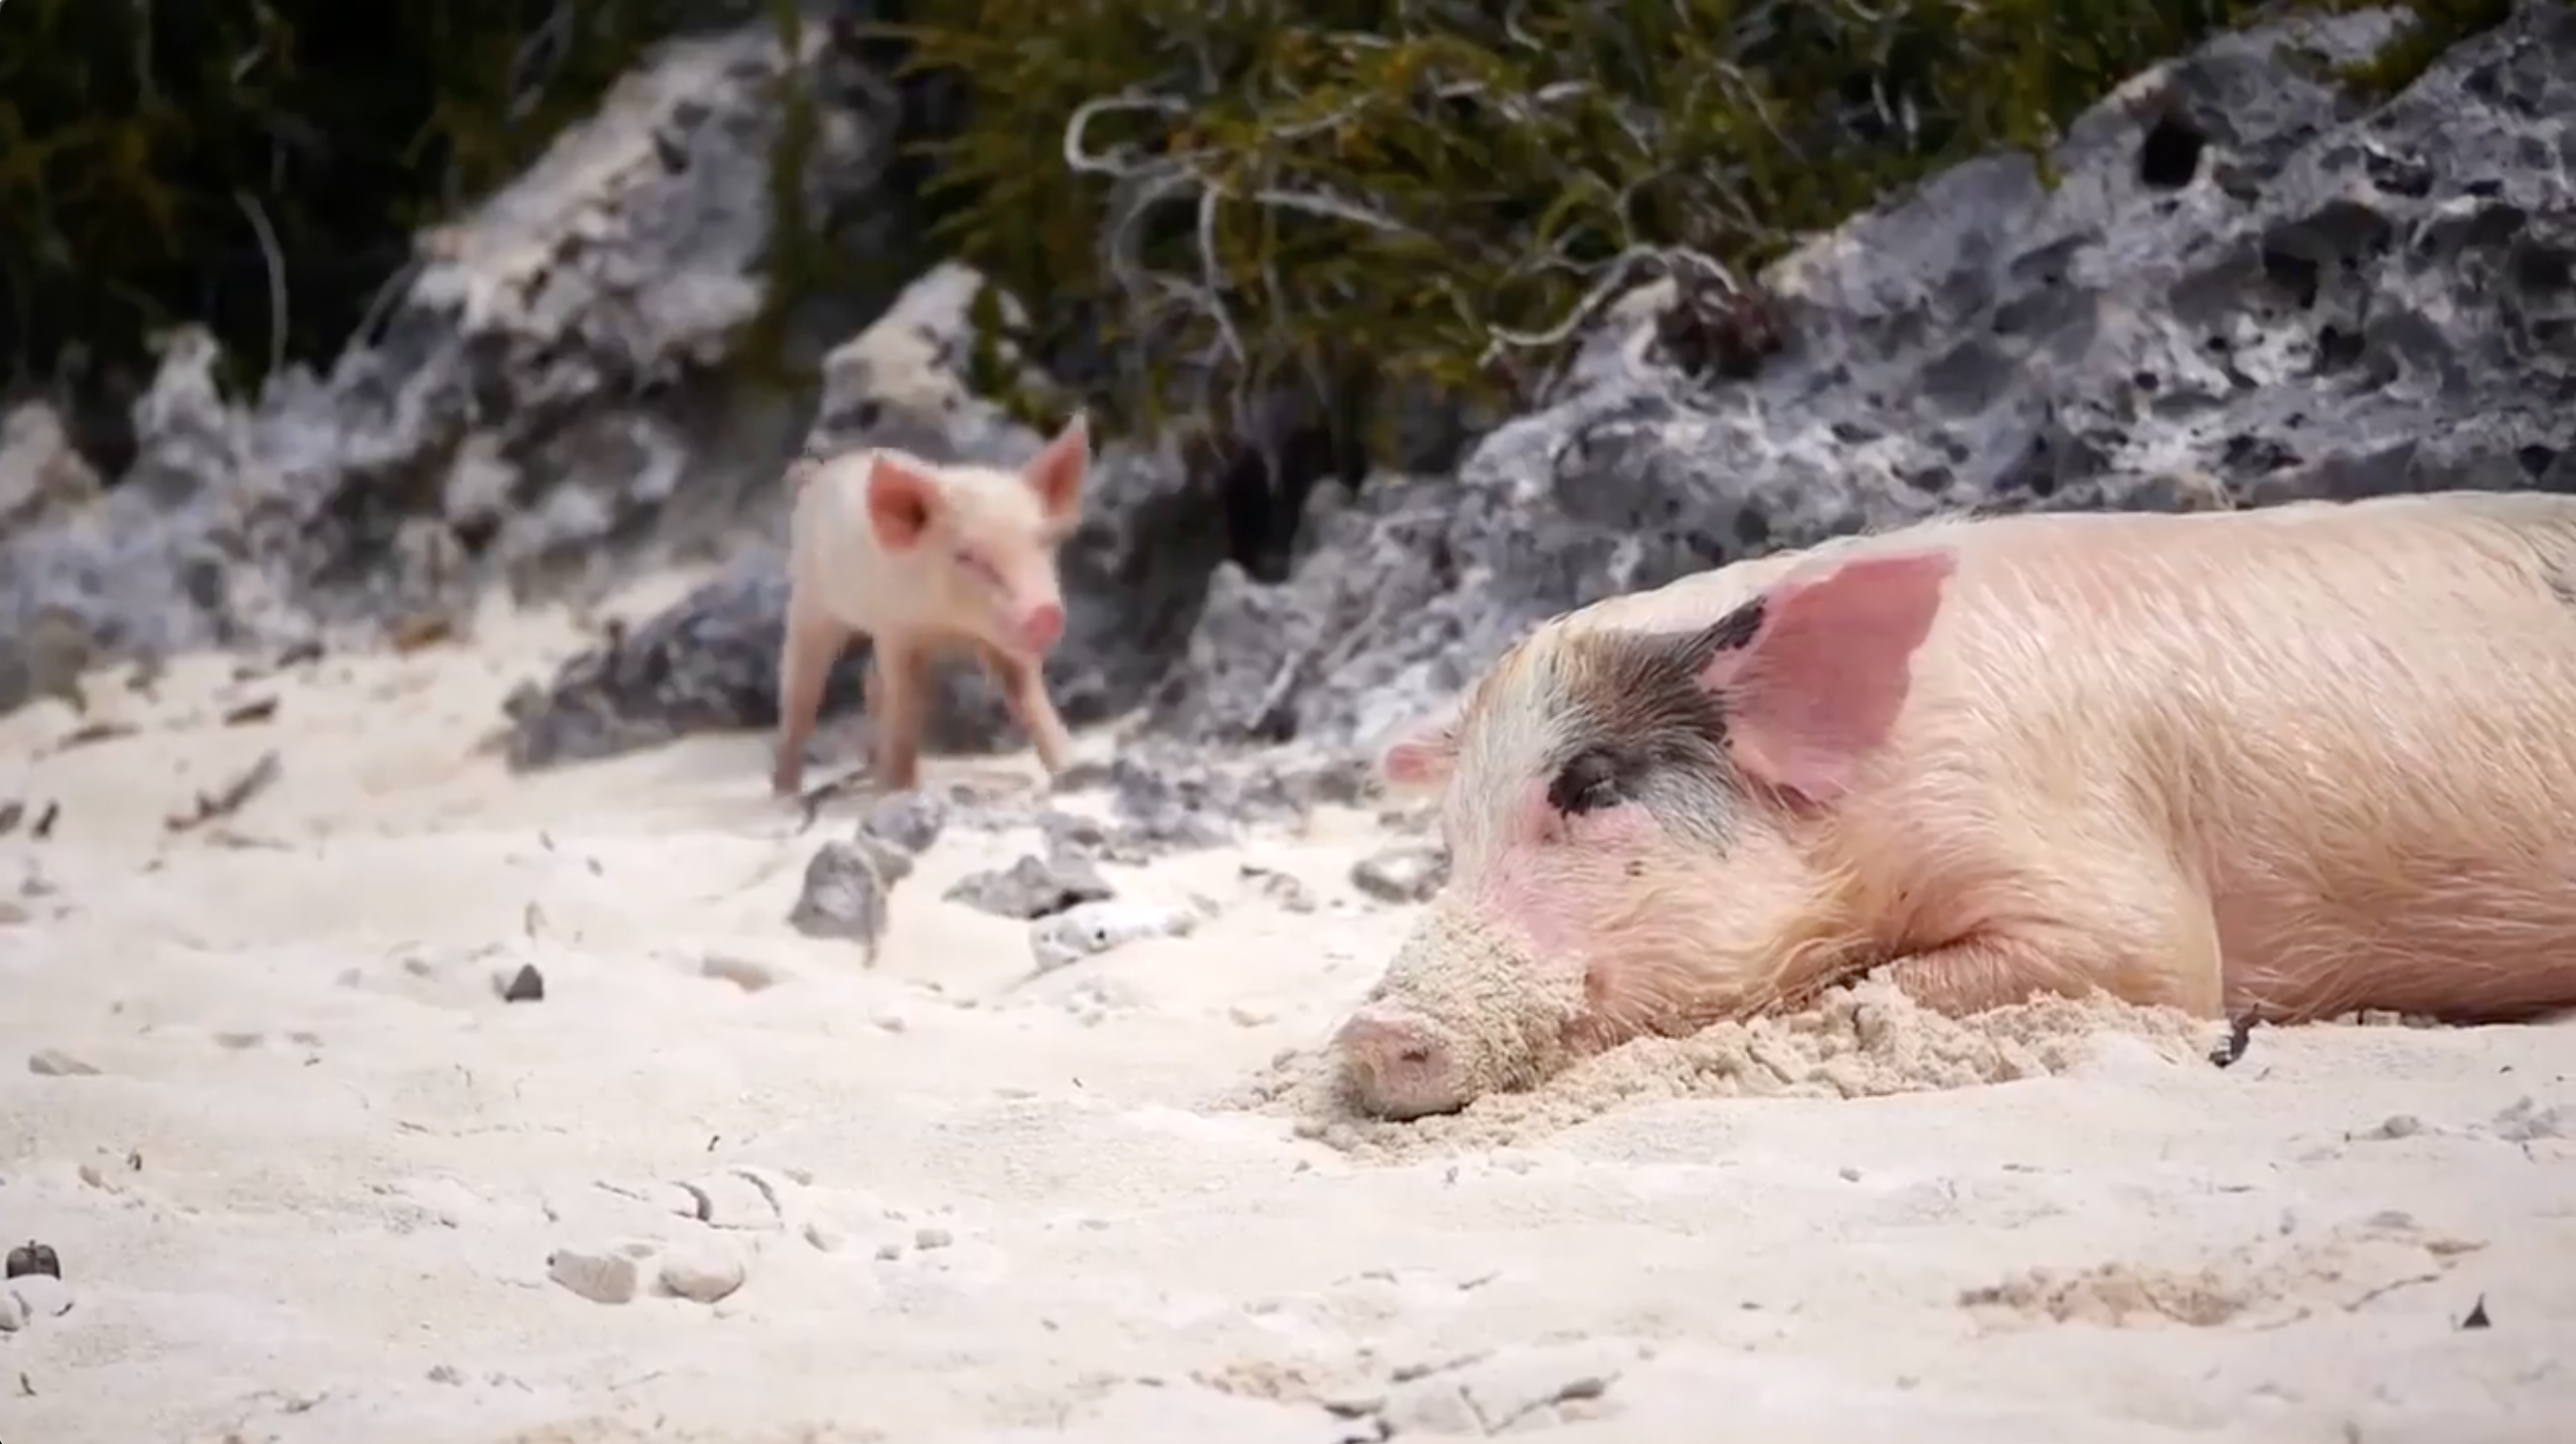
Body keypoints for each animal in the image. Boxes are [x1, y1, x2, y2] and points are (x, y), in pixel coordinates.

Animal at [772, 416, 1090, 797]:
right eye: (966, 555)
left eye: (1044, 541)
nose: (1045, 612)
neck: (952, 628)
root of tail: (817, 477)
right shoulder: (897, 631)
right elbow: (907, 704)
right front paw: (897, 791)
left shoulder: (1007, 641)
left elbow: (1029, 695)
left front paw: (1070, 767)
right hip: (810, 600)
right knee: (801, 691)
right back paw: (786, 792)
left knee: (871, 682)